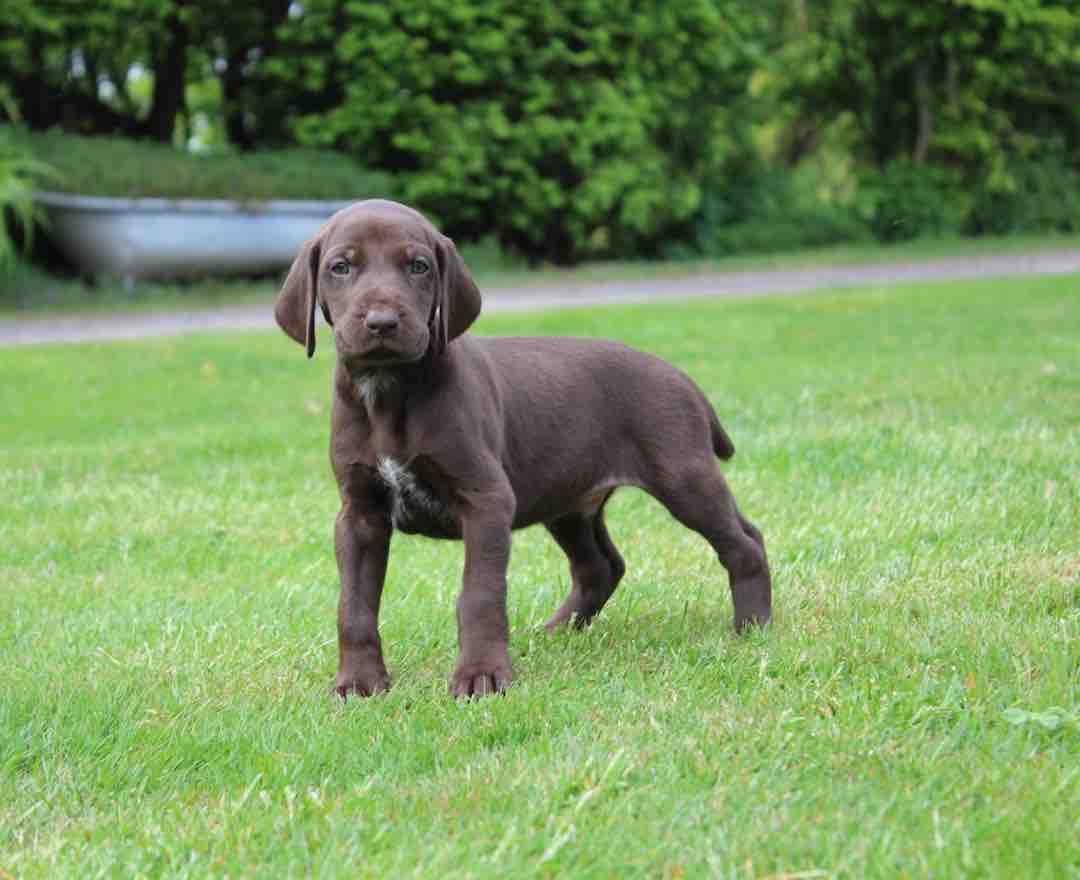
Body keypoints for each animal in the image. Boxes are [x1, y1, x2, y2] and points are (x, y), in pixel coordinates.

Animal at [274, 200, 773, 704]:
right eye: (341, 267)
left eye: (419, 266)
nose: (381, 322)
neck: (389, 392)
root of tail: (680, 376)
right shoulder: (360, 513)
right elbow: (354, 605)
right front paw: (359, 682)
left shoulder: (486, 498)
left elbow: (479, 594)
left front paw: (482, 675)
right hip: (570, 501)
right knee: (601, 566)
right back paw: (557, 631)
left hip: (682, 476)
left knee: (744, 541)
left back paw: (753, 627)